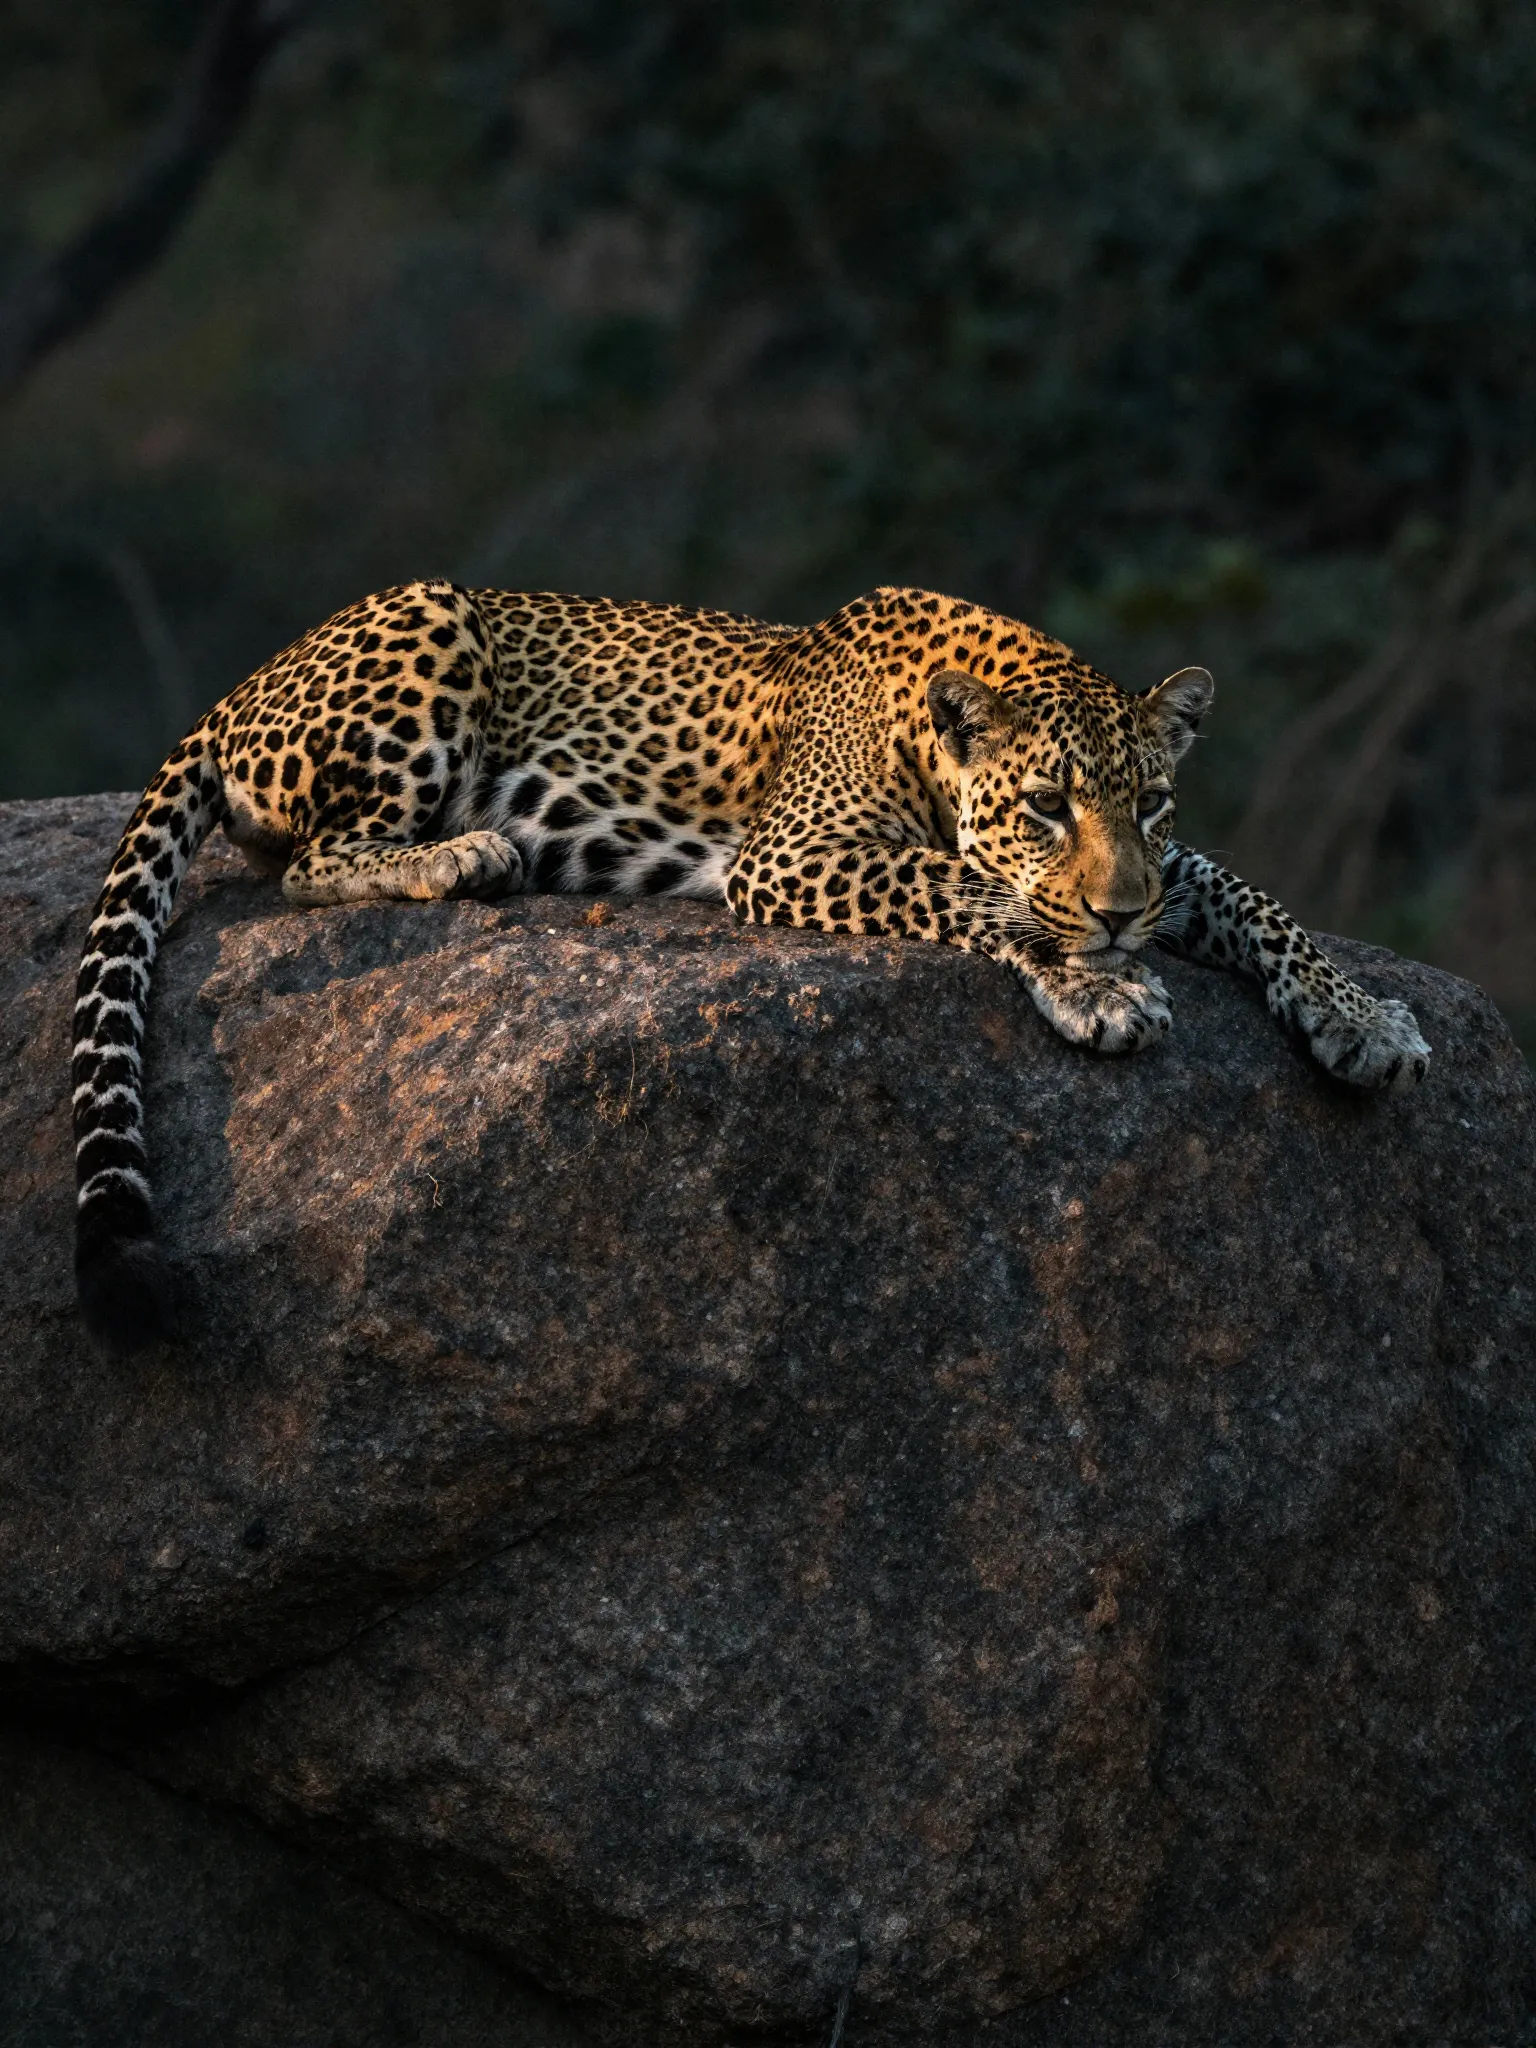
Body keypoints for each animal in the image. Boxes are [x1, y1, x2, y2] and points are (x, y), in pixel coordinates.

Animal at [72, 578, 1430, 1353]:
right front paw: (1094, 986)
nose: (1117, 914)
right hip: (431, 626)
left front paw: (1363, 1018)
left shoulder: (1166, 874)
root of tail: (244, 681)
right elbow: (978, 889)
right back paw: (470, 851)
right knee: (303, 862)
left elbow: (1248, 894)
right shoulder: (794, 853)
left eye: (1147, 803)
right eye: (1047, 804)